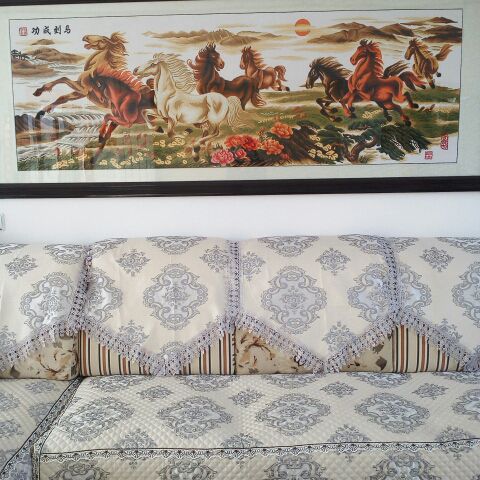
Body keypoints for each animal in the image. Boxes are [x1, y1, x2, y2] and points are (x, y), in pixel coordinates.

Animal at [32, 33, 155, 164]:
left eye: (103, 40)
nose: (85, 37)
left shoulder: (83, 90)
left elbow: (64, 79)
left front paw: (40, 91)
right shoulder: (80, 92)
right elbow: (62, 97)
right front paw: (40, 112)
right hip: (118, 117)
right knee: (108, 135)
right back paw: (94, 156)